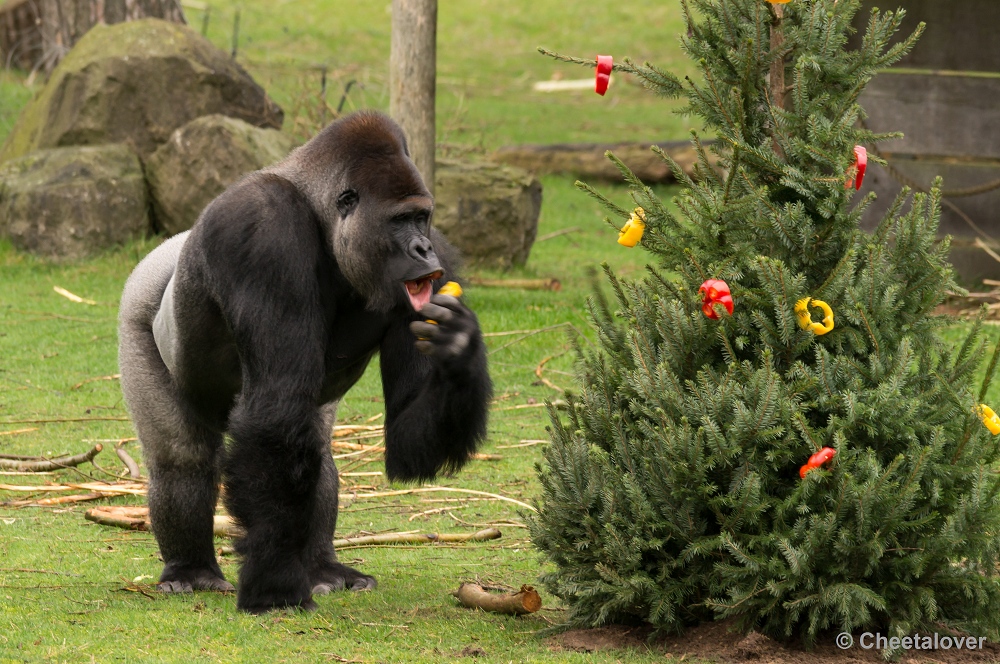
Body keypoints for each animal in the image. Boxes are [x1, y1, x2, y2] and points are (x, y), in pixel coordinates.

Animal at [117, 109, 492, 612]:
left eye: (421, 217)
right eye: (400, 220)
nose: (422, 249)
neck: (320, 216)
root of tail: (169, 247)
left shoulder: (439, 267)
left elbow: (407, 437)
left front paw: (459, 350)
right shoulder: (263, 230)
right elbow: (274, 408)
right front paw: (274, 584)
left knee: (315, 447)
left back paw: (321, 567)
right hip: (139, 301)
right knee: (182, 457)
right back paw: (191, 569)